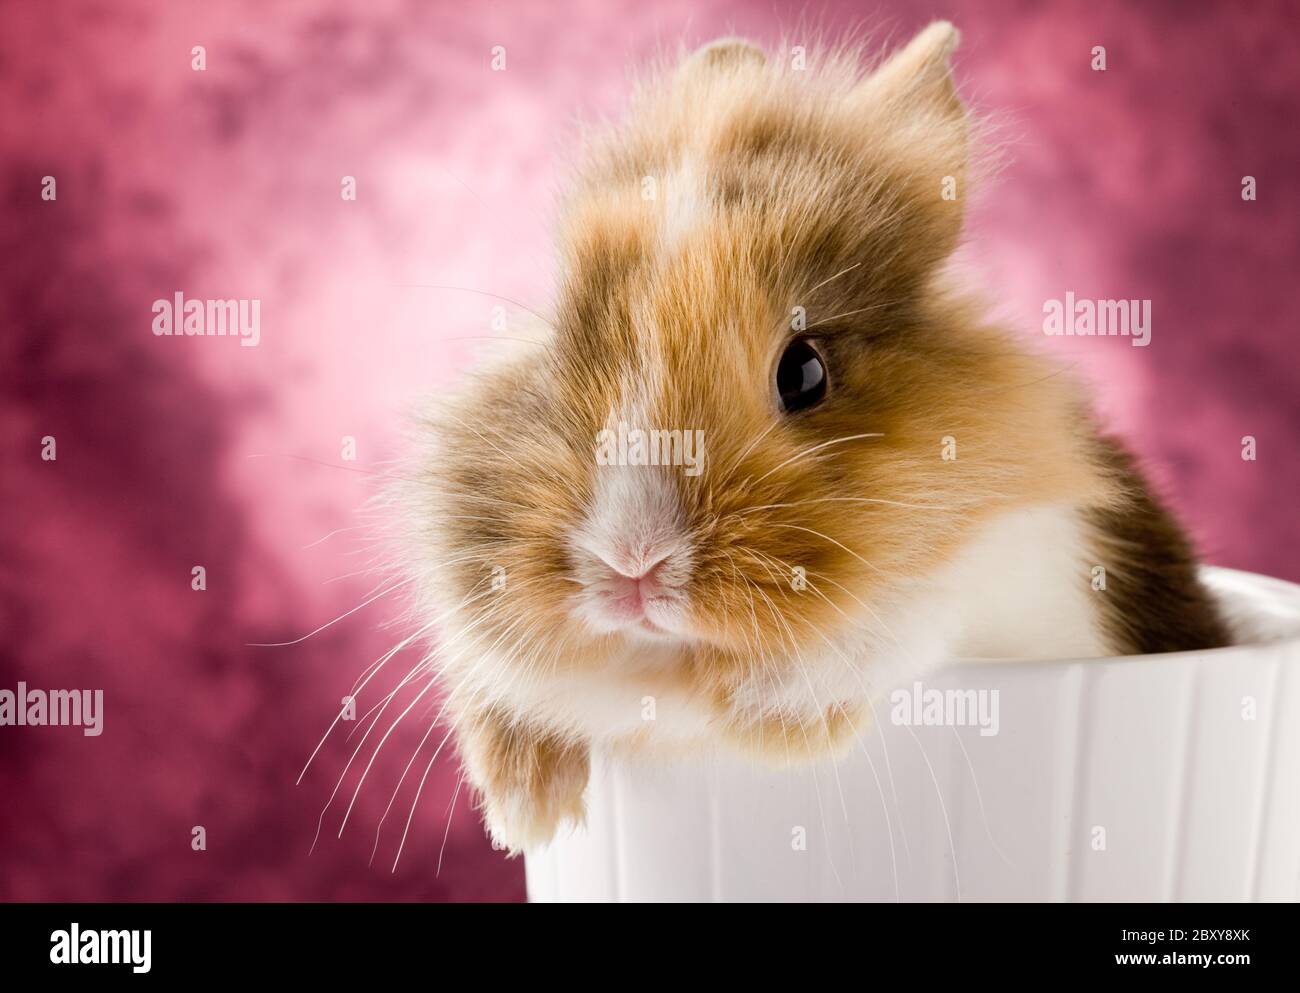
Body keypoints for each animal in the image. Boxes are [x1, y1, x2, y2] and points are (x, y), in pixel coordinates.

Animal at [395, 22, 1230, 854]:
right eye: (562, 339)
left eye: (804, 371)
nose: (631, 562)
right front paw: (527, 811)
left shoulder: (1006, 576)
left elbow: (899, 622)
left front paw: (769, 721)